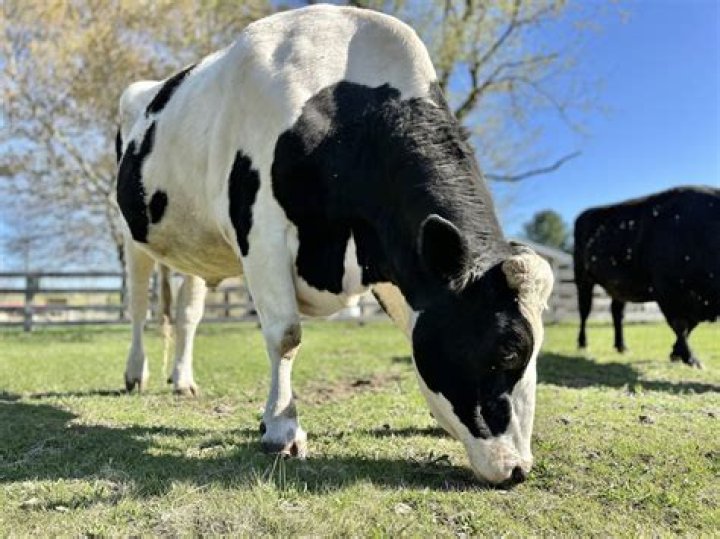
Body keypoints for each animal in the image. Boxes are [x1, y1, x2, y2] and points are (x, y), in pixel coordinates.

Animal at [114, 5, 554, 485]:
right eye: (509, 348)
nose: (518, 469)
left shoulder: (394, 255)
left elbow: (410, 330)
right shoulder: (261, 231)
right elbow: (285, 335)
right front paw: (282, 430)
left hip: (194, 246)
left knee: (188, 314)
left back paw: (182, 380)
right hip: (131, 234)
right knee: (138, 307)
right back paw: (135, 374)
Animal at [574, 185, 720, 368]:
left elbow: (690, 327)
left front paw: (676, 353)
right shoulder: (668, 292)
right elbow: (681, 326)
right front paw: (690, 358)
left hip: (619, 286)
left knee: (617, 312)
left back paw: (621, 346)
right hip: (583, 279)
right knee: (584, 311)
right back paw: (582, 344)